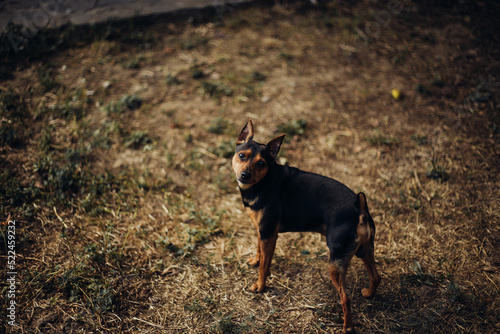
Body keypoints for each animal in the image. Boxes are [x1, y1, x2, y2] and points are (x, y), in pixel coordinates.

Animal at [232, 119, 380, 332]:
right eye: (242, 155)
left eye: (261, 163)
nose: (244, 175)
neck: (263, 181)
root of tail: (359, 207)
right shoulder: (262, 231)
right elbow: (259, 250)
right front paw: (255, 260)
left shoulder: (269, 235)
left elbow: (264, 266)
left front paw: (260, 287)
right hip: (365, 250)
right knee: (376, 276)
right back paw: (369, 293)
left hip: (335, 263)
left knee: (346, 298)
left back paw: (347, 327)